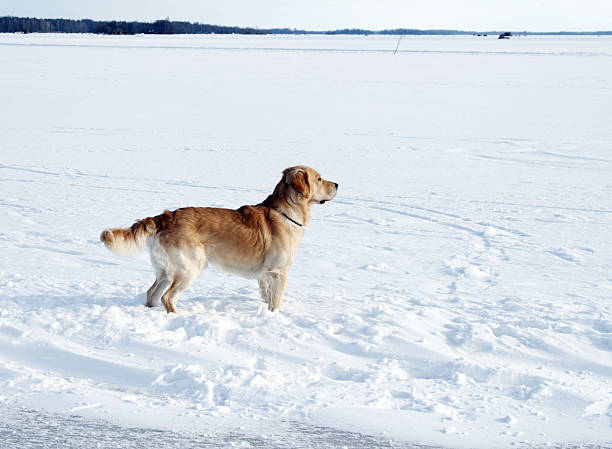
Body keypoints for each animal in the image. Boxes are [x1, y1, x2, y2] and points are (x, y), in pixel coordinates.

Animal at [101, 164, 340, 312]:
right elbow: (275, 302)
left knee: (151, 293)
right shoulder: (278, 273)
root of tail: (164, 217)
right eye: (319, 178)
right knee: (167, 297)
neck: (285, 212)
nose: (337, 184)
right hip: (190, 268)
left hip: (166, 270)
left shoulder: (266, 275)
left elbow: (267, 296)